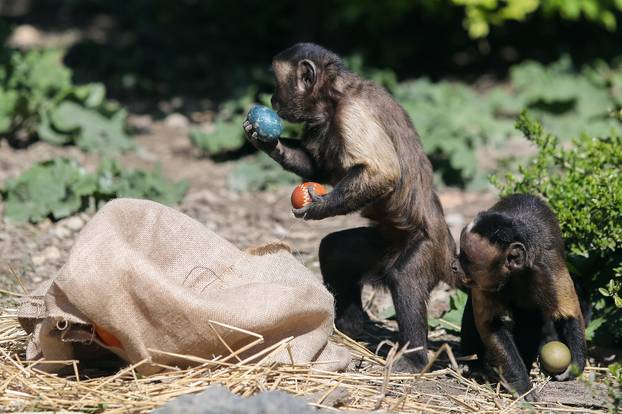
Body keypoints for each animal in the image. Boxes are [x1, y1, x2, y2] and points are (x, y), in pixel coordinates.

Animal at [244, 43, 458, 370]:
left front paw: (318, 207)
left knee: (404, 278)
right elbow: (318, 167)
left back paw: (413, 360)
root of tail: (451, 250)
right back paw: (350, 325)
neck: (335, 96)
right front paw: (267, 141)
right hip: (385, 242)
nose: (271, 99)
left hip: (428, 248)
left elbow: (383, 173)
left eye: (278, 83)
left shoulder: (351, 112)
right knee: (333, 250)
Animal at [456, 194, 588, 402]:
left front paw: (575, 366)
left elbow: (568, 313)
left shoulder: (547, 266)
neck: (513, 274)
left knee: (530, 315)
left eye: (467, 259)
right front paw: (522, 385)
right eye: (461, 254)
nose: (454, 265)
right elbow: (491, 326)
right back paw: (474, 365)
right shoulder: (484, 283)